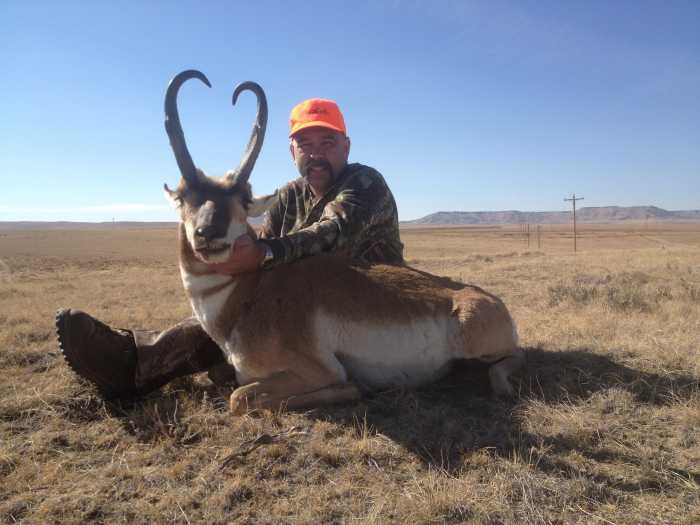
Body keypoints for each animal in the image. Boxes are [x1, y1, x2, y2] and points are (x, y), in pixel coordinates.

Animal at [165, 70, 524, 414]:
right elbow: (221, 376)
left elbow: (239, 397)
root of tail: (490, 300)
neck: (248, 293)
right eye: (183, 197)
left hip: (479, 344)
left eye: (243, 198)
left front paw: (355, 388)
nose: (208, 234)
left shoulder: (318, 370)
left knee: (509, 359)